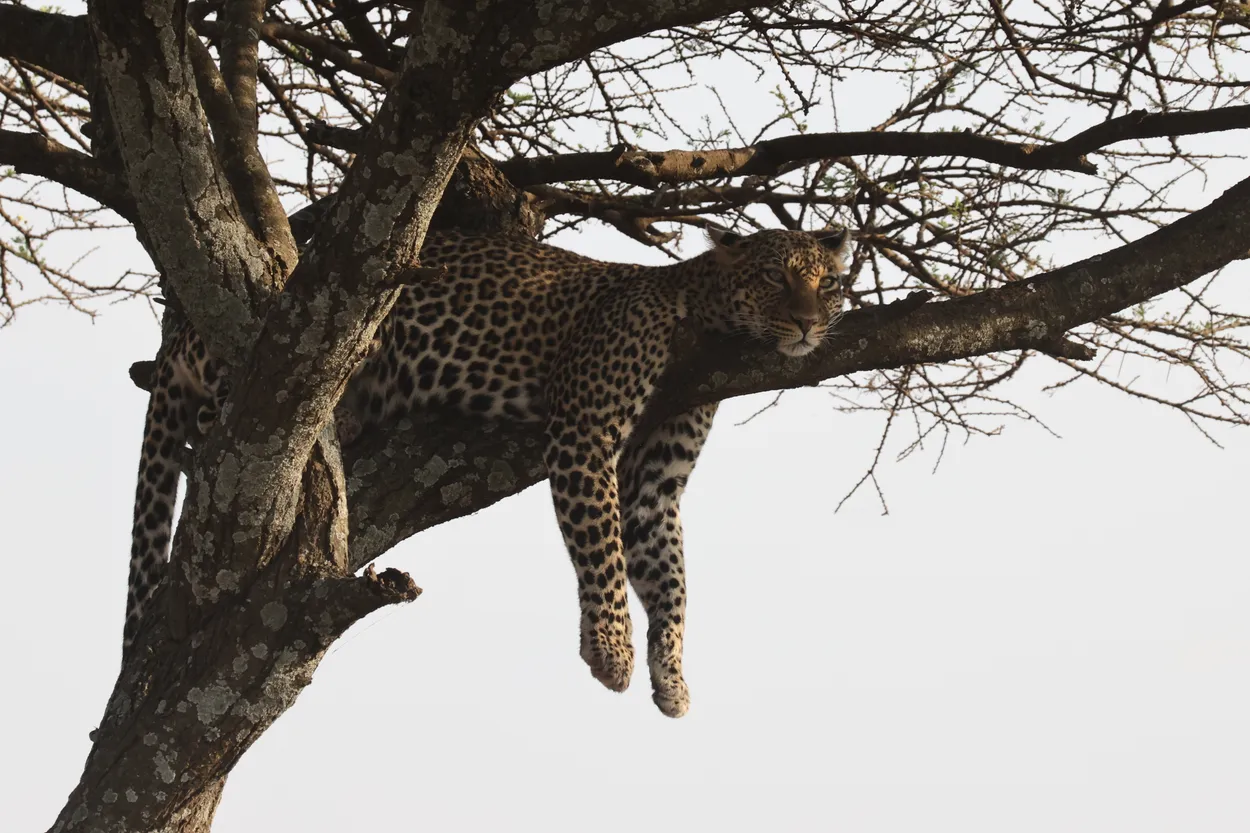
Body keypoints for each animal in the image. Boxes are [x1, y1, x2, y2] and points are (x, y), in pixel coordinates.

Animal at [126, 225, 853, 718]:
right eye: (775, 278)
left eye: (829, 282)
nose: (808, 322)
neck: (702, 322)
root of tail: (177, 333)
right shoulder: (584, 432)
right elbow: (604, 554)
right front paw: (610, 653)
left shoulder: (655, 483)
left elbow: (671, 582)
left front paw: (671, 678)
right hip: (284, 353)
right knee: (218, 425)